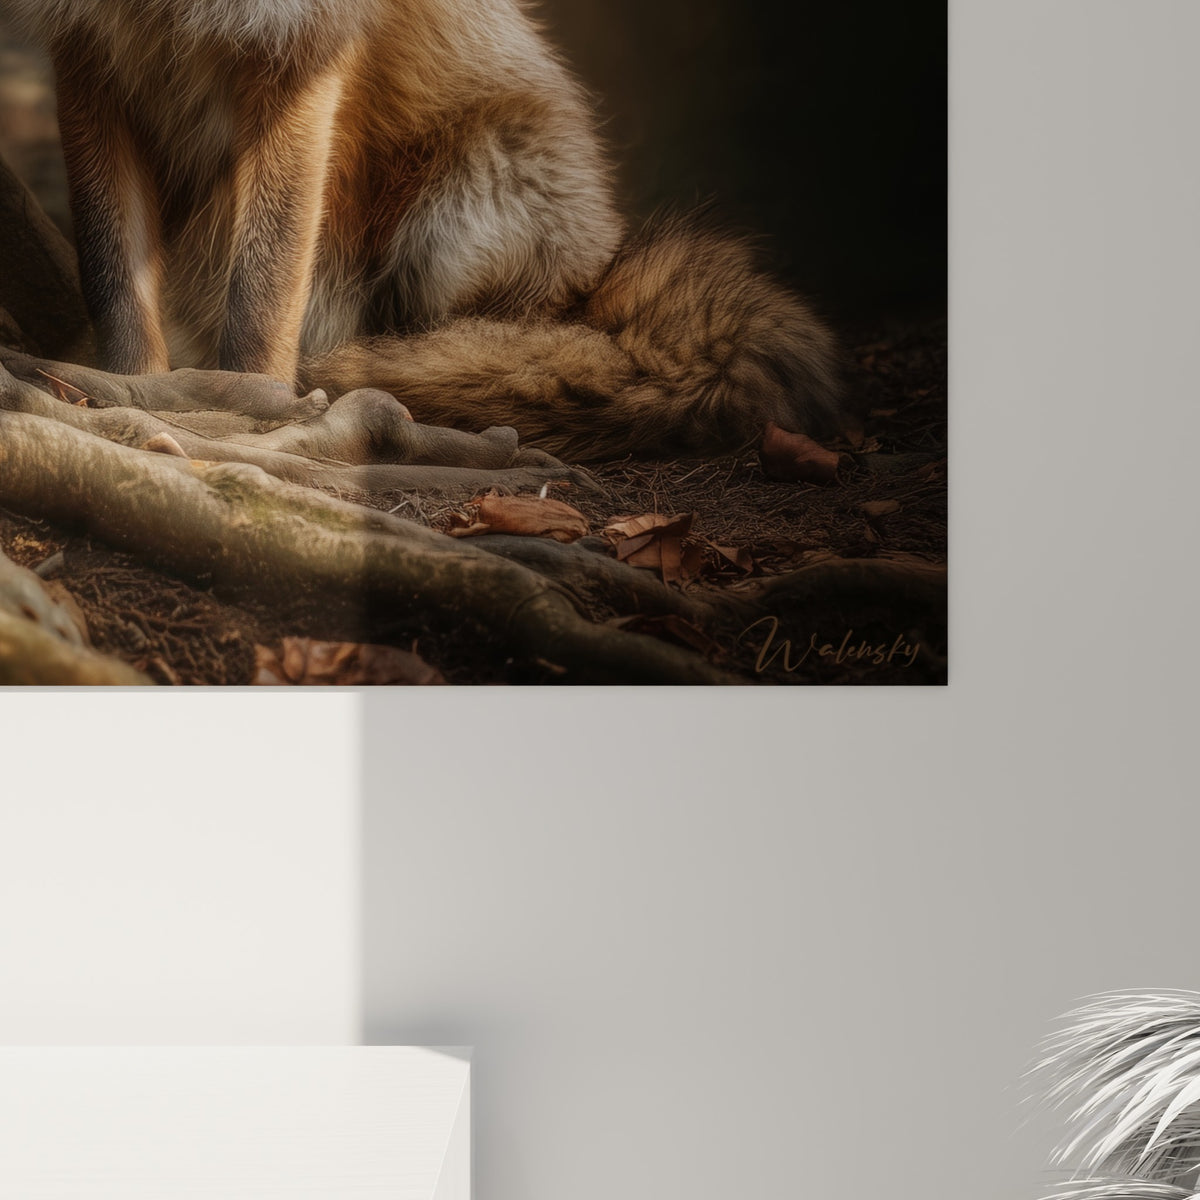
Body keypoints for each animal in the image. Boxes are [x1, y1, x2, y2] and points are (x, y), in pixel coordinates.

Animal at [4, 0, 845, 461]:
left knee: (493, 344)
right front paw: (133, 396)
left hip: (463, 214)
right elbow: (114, 281)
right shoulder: (87, 54)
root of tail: (598, 278)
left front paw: (241, 413)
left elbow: (263, 294)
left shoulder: (299, 49)